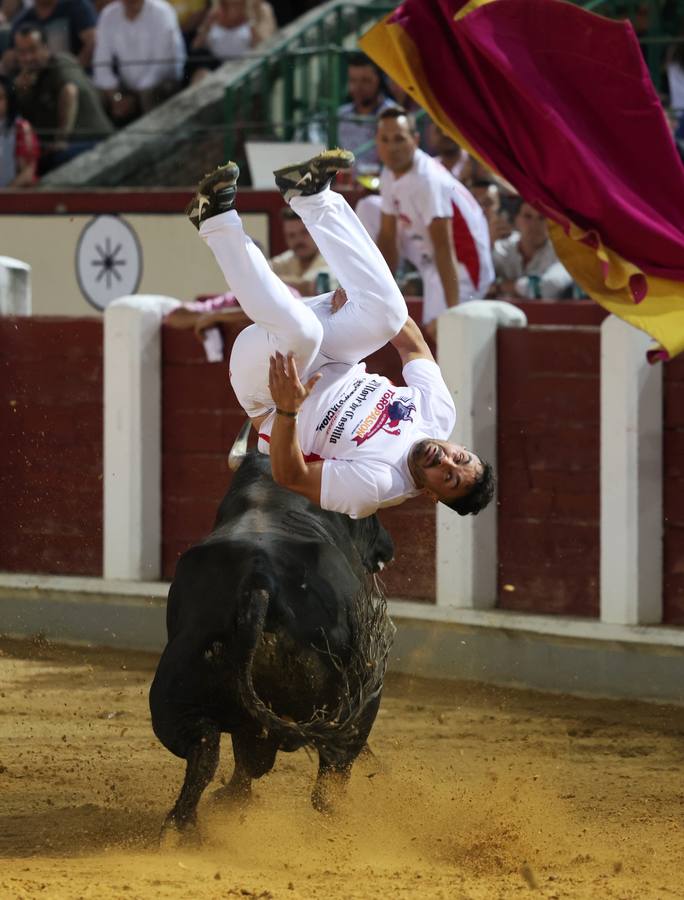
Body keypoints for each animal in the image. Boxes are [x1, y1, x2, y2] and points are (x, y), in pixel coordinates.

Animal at [150, 448, 396, 828]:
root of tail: (259, 582)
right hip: (361, 690)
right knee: (328, 778)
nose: (387, 548)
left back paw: (186, 826)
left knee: (207, 755)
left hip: (173, 702)